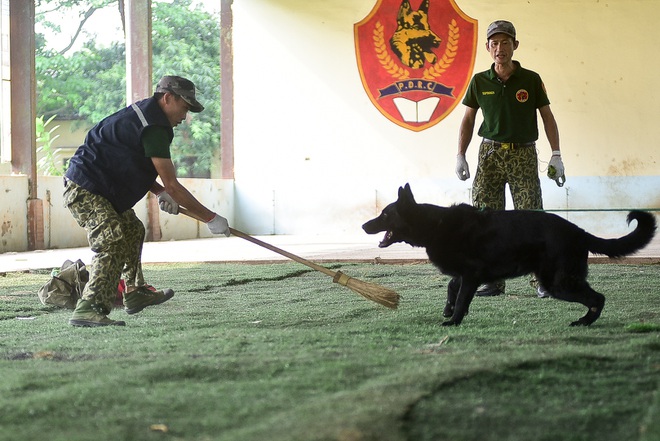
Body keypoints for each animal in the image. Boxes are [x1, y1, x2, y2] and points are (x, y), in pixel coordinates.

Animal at [364, 184, 656, 324]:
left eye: (385, 215)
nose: (364, 226)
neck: (435, 225)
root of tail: (578, 231)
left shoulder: (472, 274)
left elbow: (461, 297)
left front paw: (453, 321)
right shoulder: (467, 274)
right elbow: (452, 287)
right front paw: (448, 310)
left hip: (558, 283)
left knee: (598, 298)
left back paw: (584, 322)